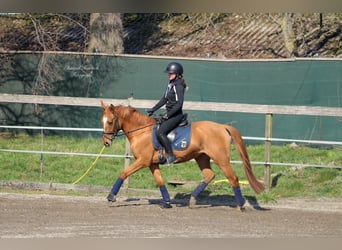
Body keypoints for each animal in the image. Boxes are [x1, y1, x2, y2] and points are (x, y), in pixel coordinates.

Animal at [100, 101, 264, 209]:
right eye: (102, 121)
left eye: (110, 121)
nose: (106, 142)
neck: (141, 131)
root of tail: (222, 127)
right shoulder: (152, 163)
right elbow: (160, 181)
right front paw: (166, 202)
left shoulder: (143, 161)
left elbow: (124, 173)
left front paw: (111, 196)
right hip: (201, 157)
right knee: (209, 175)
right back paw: (192, 199)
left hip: (221, 159)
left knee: (233, 178)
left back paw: (240, 205)